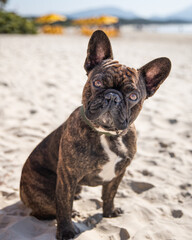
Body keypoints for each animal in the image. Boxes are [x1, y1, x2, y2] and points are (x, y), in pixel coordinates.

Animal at [20, 31, 172, 239]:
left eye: (133, 96)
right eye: (97, 83)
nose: (112, 96)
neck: (107, 134)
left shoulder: (119, 173)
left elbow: (109, 195)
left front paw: (109, 212)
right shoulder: (67, 176)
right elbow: (63, 206)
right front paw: (66, 230)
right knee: (46, 209)